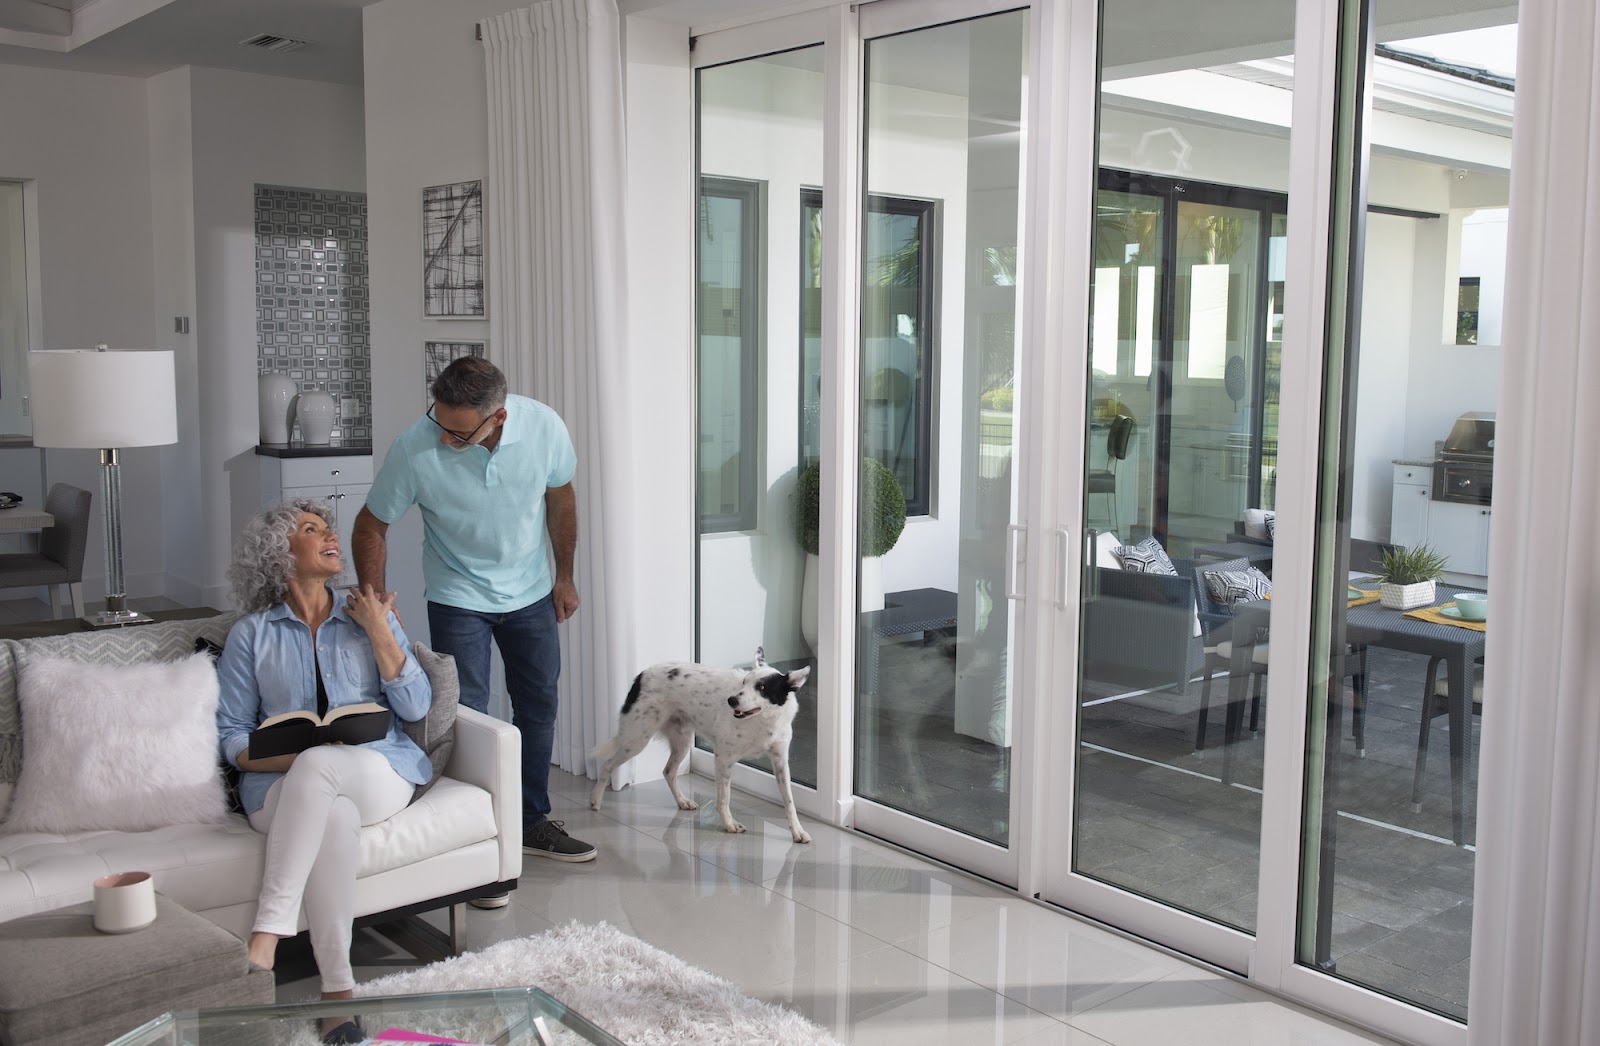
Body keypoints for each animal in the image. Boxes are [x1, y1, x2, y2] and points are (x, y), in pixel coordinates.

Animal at [588, 646, 812, 844]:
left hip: (682, 742)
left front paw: (797, 831)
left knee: (668, 771)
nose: (731, 700)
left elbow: (789, 802)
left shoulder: (780, 762)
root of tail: (642, 674)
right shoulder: (724, 758)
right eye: (744, 682)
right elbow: (724, 798)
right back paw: (596, 801)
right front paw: (729, 824)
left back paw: (682, 801)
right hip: (636, 740)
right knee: (608, 764)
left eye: (762, 687)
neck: (762, 721)